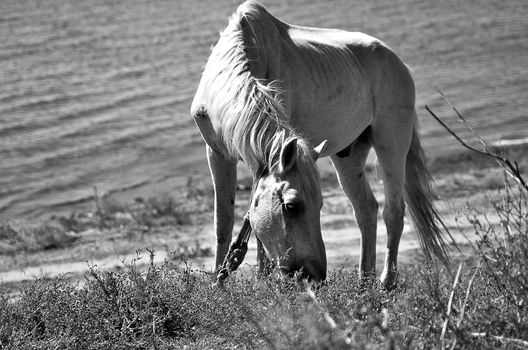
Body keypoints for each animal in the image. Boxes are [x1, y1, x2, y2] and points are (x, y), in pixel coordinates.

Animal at [191, 0, 450, 288]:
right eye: (292, 206)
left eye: (320, 205)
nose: (314, 275)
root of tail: (398, 63)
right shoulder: (217, 154)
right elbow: (222, 223)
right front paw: (219, 283)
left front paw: (263, 286)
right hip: (348, 155)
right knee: (366, 209)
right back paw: (364, 283)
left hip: (392, 144)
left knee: (393, 212)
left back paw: (386, 283)